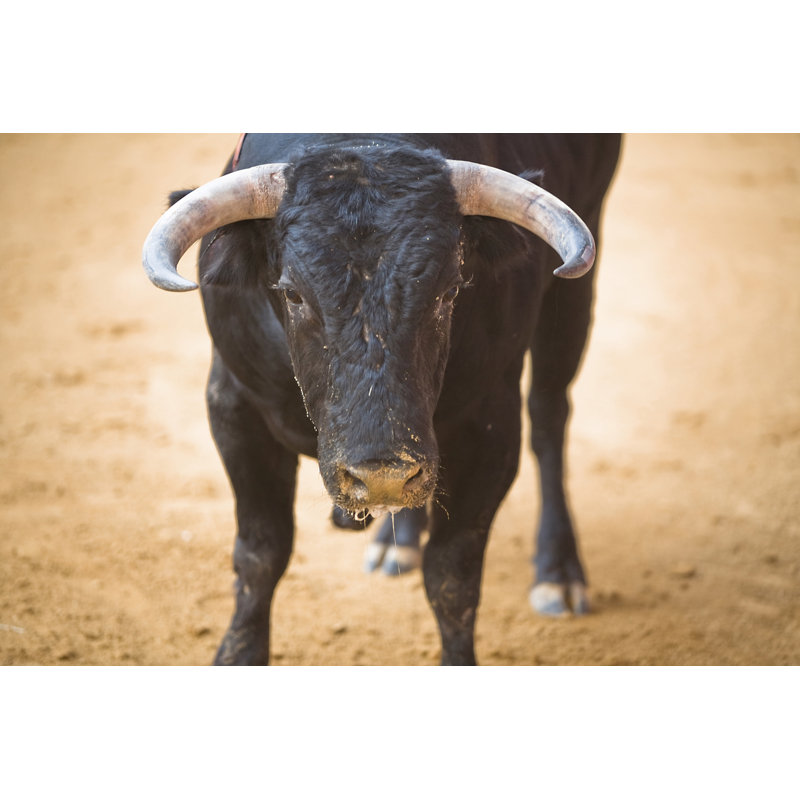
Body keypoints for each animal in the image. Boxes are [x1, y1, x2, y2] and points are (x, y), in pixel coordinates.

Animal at [142, 133, 621, 665]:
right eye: (293, 294)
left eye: (449, 290)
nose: (382, 475)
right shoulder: (235, 405)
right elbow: (261, 552)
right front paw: (237, 653)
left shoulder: (491, 424)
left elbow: (453, 576)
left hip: (575, 281)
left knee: (549, 414)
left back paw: (558, 572)